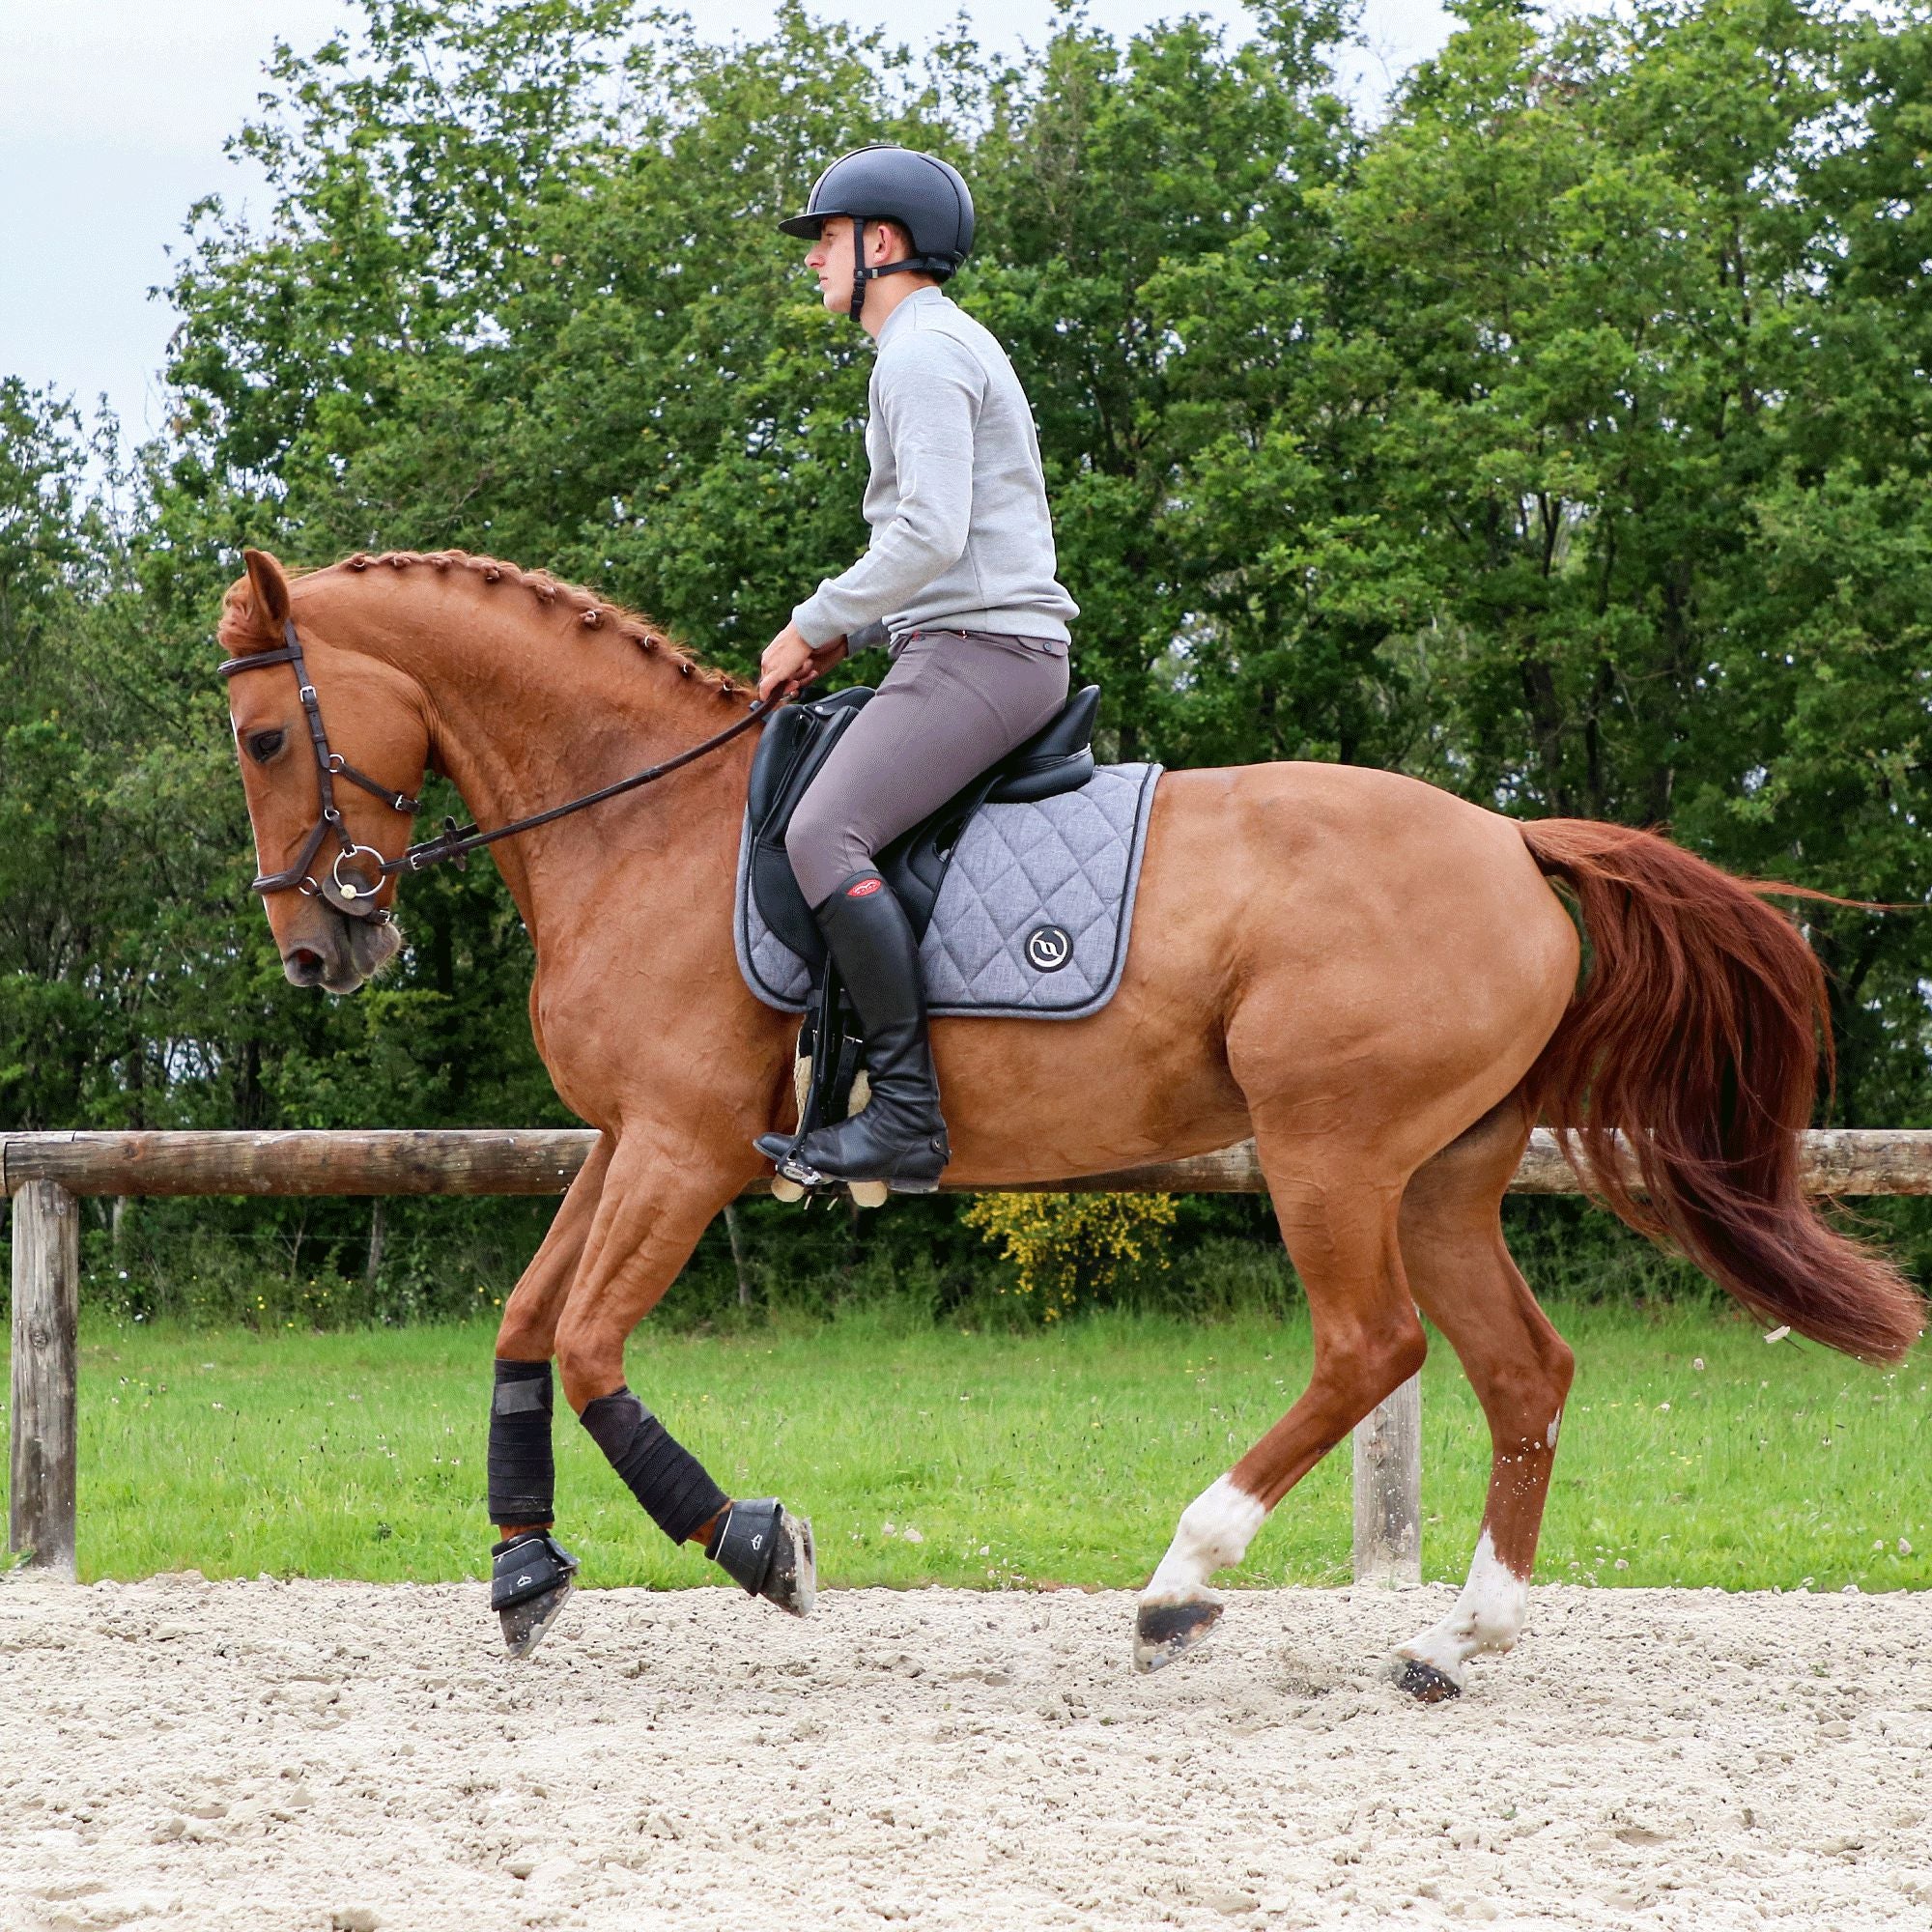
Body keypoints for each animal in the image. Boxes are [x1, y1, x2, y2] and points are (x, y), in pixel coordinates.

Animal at [222, 545, 1917, 1692]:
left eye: (261, 738)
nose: (318, 954)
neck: (638, 820)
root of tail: (1509, 839)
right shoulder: (631, 1137)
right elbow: (525, 1322)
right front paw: (523, 1568)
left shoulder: (688, 1149)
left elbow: (584, 1346)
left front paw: (761, 1547)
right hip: (1442, 1175)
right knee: (1523, 1369)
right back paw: (1456, 1636)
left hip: (1330, 1154)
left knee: (1371, 1348)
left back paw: (1182, 1580)